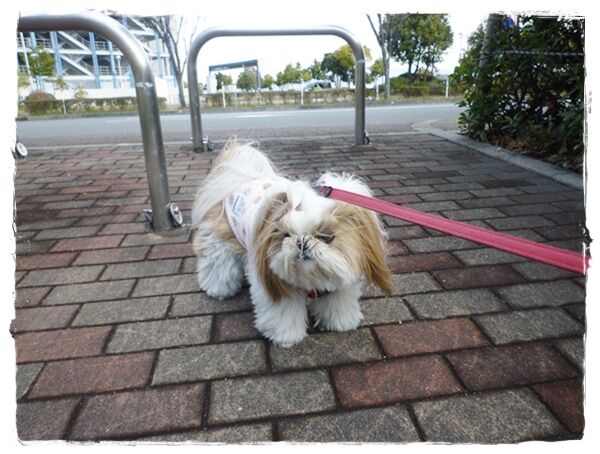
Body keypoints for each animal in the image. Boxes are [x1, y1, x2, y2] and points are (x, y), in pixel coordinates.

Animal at [191, 139, 393, 347]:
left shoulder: (342, 281)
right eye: (286, 235)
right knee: (218, 265)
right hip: (219, 240)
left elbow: (337, 302)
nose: (302, 242)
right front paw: (286, 337)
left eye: (326, 237)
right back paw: (218, 289)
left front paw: (341, 322)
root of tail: (239, 176)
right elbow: (284, 313)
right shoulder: (274, 282)